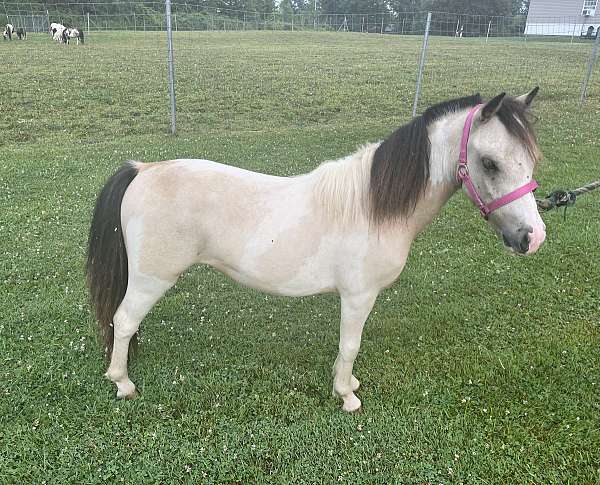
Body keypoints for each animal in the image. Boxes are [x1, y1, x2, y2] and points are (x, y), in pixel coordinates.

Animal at [88, 89, 544, 410]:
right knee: (123, 321)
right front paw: (347, 396)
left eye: (531, 160)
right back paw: (123, 383)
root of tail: (143, 170)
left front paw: (349, 384)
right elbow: (350, 346)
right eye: (490, 163)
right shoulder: (359, 296)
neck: (374, 206)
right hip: (151, 279)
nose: (532, 237)